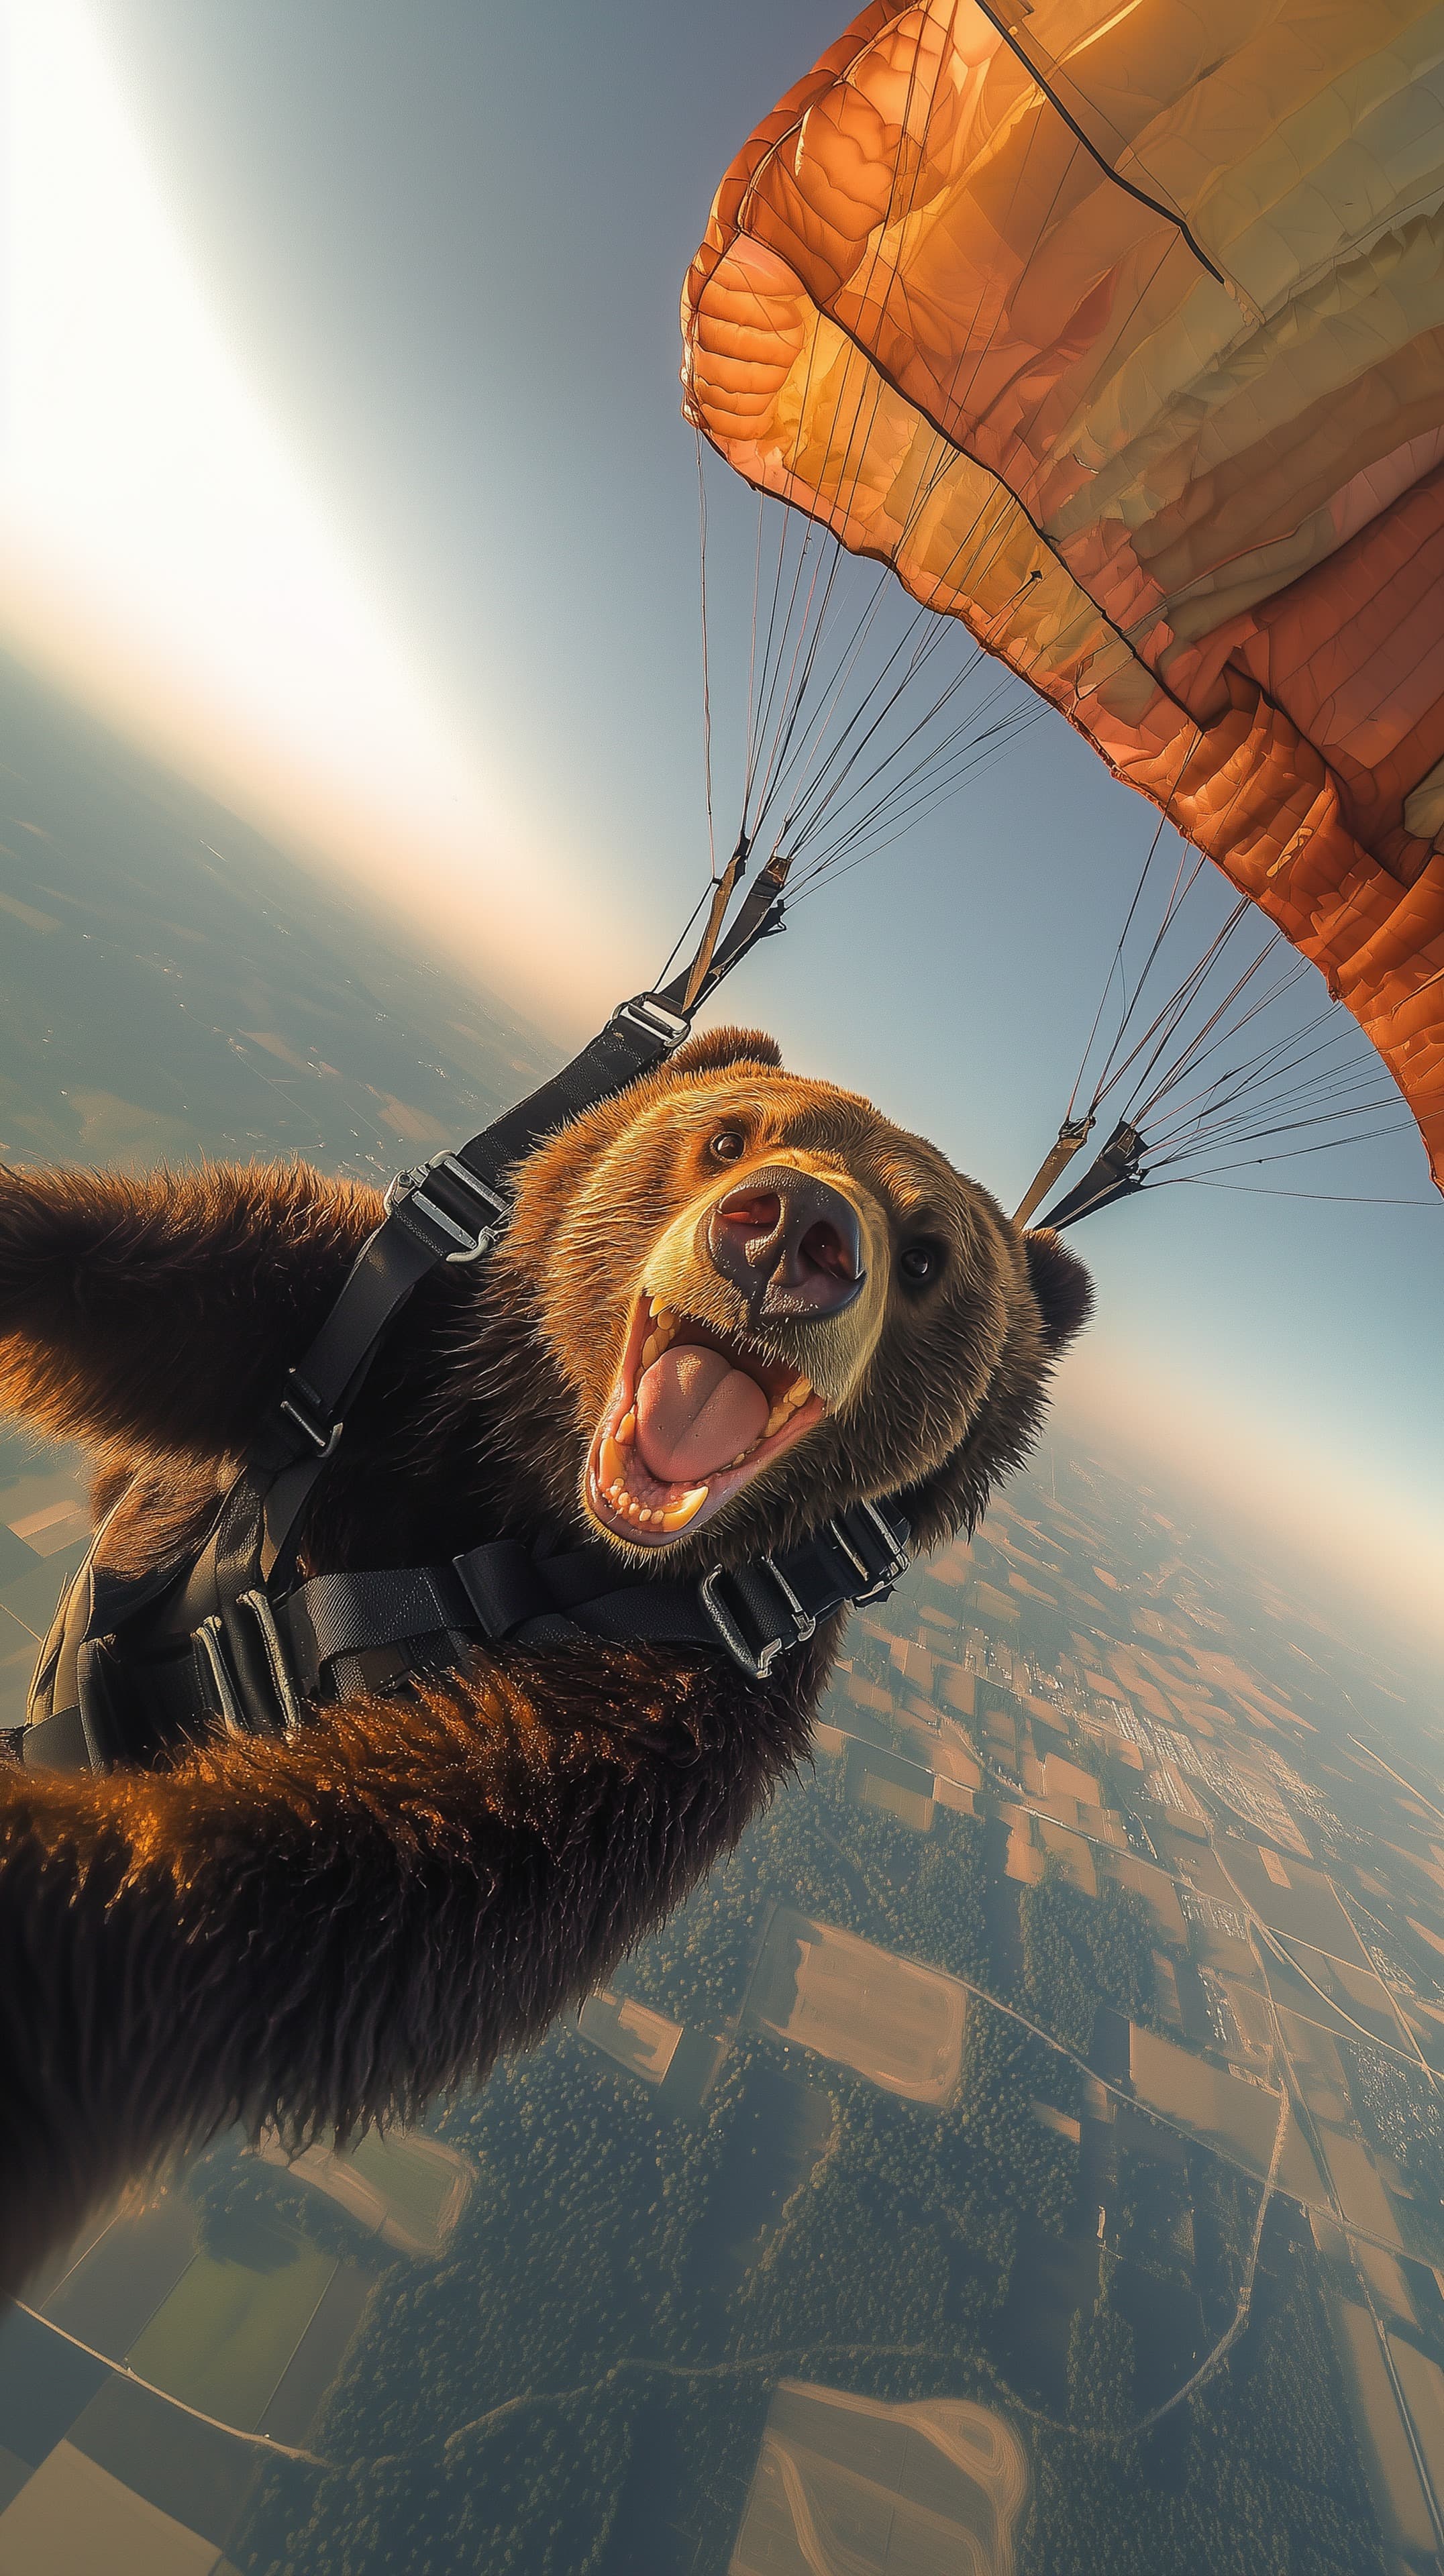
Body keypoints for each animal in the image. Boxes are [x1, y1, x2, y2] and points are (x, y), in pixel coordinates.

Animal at [0, 1026, 1090, 2291]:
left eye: (926, 1259)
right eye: (730, 1137)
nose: (795, 1232)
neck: (539, 1507)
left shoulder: (669, 1711)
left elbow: (359, 1863)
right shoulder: (397, 1343)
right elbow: (169, 1275)